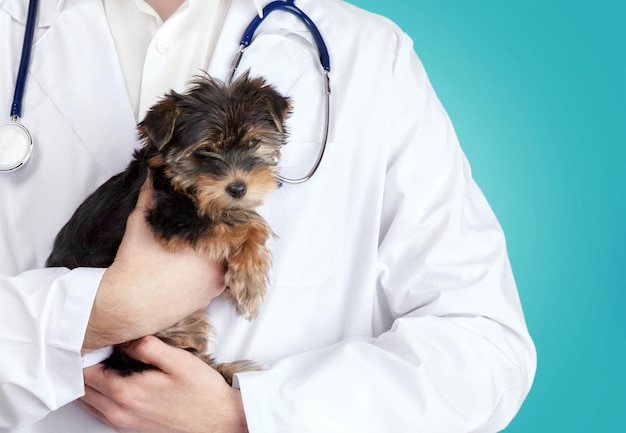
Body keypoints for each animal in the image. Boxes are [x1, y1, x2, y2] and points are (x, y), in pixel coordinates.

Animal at [46, 74, 290, 384]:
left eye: (254, 142)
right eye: (204, 152)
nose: (238, 188)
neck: (179, 181)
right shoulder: (170, 217)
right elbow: (246, 223)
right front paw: (250, 283)